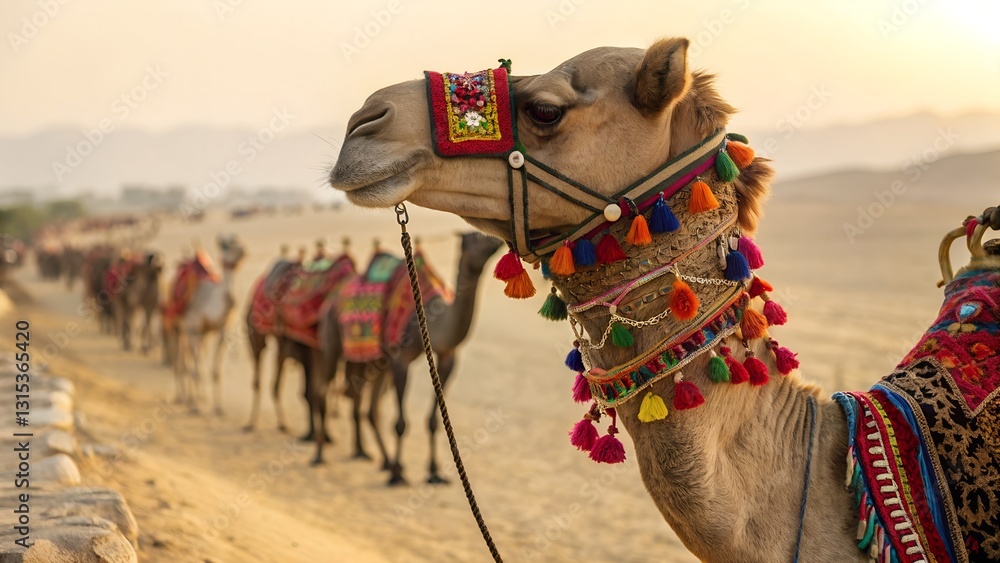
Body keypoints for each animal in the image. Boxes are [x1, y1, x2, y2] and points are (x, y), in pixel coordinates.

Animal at [171, 235, 246, 413]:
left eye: (238, 242)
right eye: (227, 246)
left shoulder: (220, 332)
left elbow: (215, 371)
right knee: (180, 361)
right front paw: (193, 406)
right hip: (175, 328)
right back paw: (181, 397)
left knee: (190, 359)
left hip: (198, 335)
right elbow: (194, 369)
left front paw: (218, 408)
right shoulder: (194, 331)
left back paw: (199, 396)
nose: (243, 249)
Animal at [310, 233, 502, 485]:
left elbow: (434, 421)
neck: (431, 313)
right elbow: (400, 423)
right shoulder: (400, 360)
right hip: (332, 342)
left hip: (371, 363)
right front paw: (399, 476)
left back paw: (380, 459)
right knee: (323, 391)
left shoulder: (447, 357)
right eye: (477, 237)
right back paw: (320, 455)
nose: (498, 240)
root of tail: (331, 300)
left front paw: (433, 472)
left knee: (368, 408)